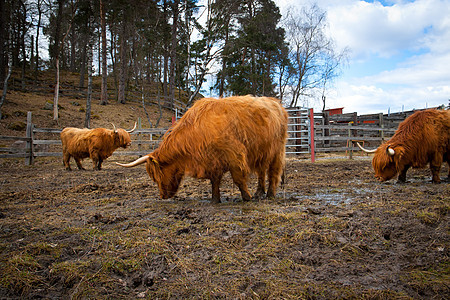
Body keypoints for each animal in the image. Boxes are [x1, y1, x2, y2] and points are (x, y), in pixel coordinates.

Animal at [116, 95, 288, 204]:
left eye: (156, 176)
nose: (163, 196)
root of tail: (276, 102)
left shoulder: (234, 155)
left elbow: (238, 178)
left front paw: (247, 198)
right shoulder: (213, 160)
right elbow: (214, 180)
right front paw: (215, 199)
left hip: (277, 150)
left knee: (273, 172)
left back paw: (270, 195)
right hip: (262, 152)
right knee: (261, 171)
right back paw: (260, 193)